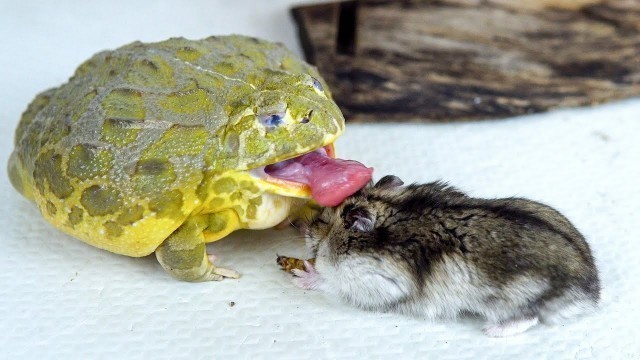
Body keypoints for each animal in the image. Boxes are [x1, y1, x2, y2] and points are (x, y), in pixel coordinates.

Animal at [294, 175, 600, 338]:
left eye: (324, 221)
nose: (304, 229)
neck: (391, 210)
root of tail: (592, 291)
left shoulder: (375, 282)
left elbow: (331, 283)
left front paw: (303, 274)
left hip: (511, 299)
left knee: (529, 317)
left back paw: (491, 330)